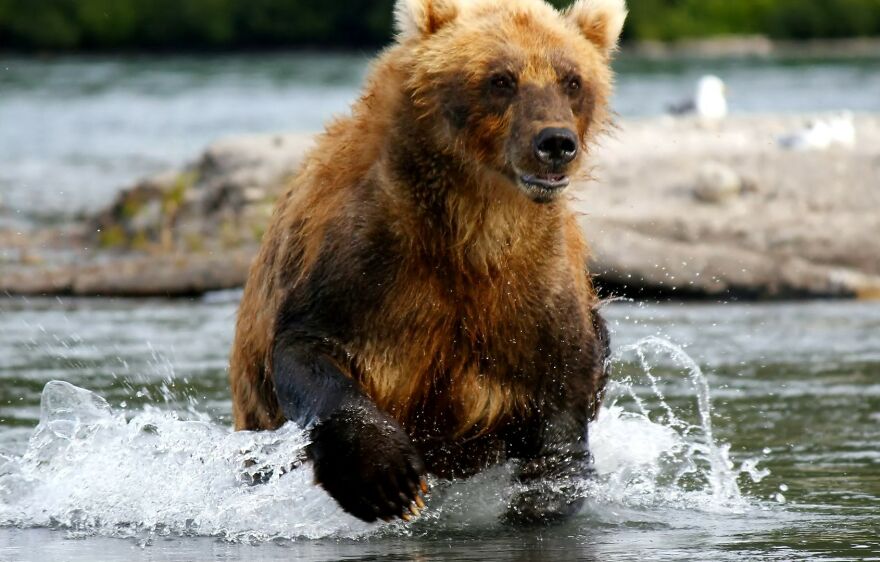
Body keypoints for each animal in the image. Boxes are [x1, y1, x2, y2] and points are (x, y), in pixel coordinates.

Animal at [229, 0, 626, 525]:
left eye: (572, 80)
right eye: (501, 78)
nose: (555, 142)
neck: (470, 223)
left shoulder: (533, 289)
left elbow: (561, 390)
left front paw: (547, 489)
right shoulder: (365, 262)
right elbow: (310, 351)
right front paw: (385, 482)